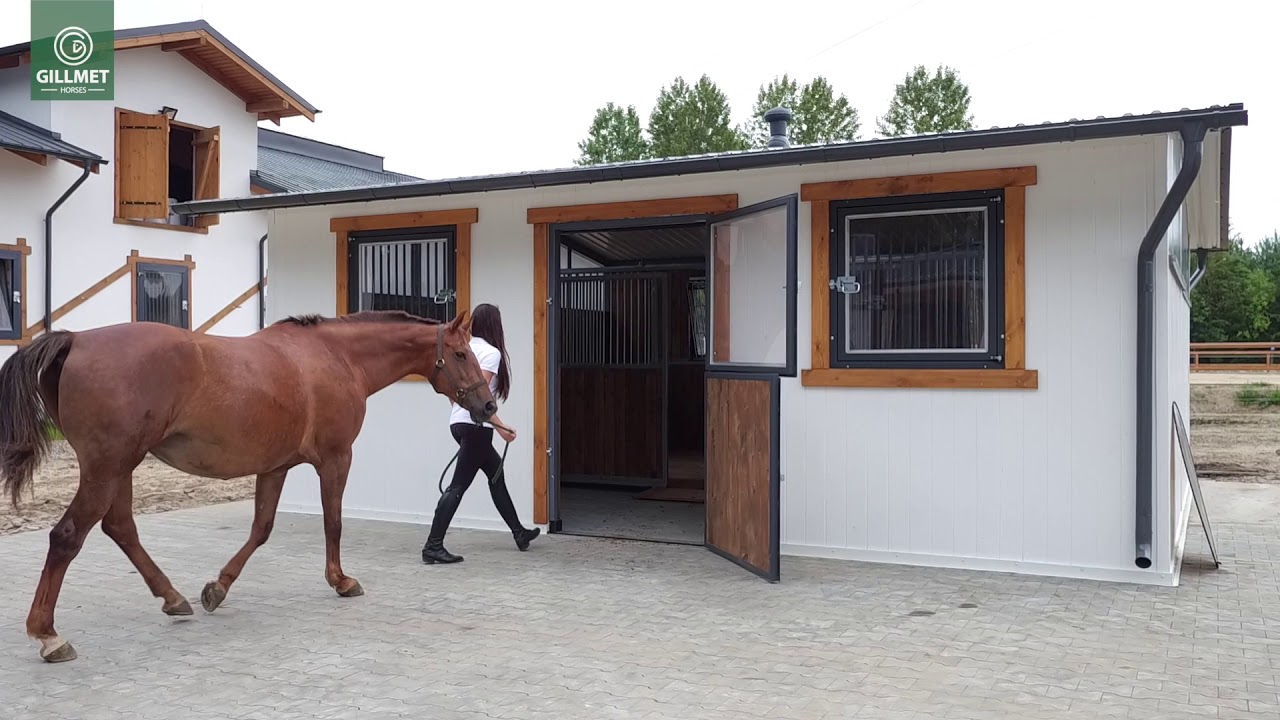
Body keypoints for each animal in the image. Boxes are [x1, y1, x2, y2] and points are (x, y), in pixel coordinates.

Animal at [0, 309, 496, 663]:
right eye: (462, 354)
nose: (488, 406)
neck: (336, 357)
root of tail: (77, 339)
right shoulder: (336, 460)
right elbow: (333, 523)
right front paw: (341, 580)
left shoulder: (275, 467)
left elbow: (261, 528)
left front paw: (217, 589)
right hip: (108, 467)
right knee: (68, 537)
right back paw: (48, 635)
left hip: (119, 468)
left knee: (120, 528)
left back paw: (174, 599)